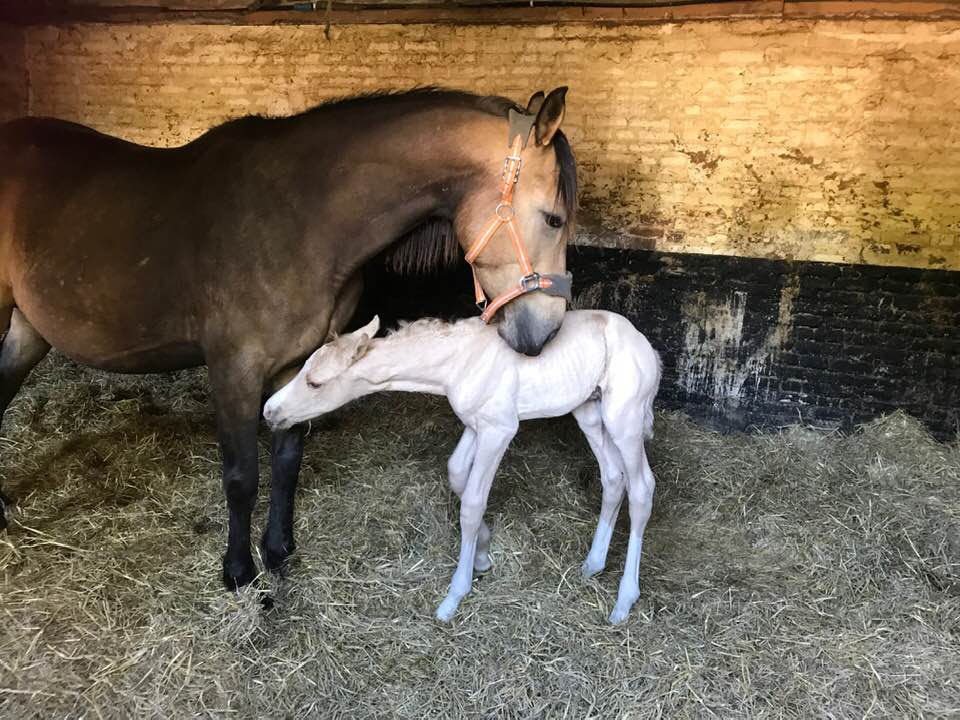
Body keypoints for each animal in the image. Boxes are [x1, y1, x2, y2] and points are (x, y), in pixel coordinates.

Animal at [266, 310, 664, 624]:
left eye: (315, 382)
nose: (270, 411)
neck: (461, 361)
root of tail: (647, 346)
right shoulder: (475, 425)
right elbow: (456, 473)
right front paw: (483, 556)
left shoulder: (499, 429)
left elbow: (472, 503)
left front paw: (454, 595)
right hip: (590, 412)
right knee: (613, 478)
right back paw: (593, 564)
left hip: (624, 418)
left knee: (642, 488)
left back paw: (624, 601)